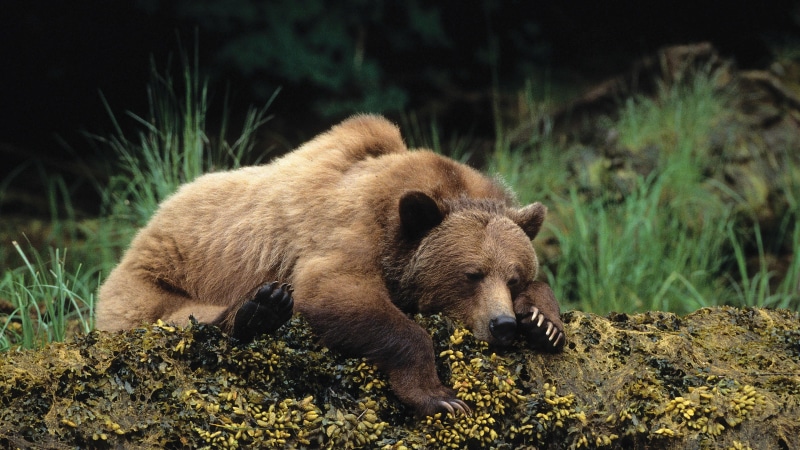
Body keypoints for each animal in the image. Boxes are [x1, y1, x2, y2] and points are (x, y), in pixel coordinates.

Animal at [96, 114, 565, 417]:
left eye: (514, 276)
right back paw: (259, 309)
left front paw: (544, 322)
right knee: (180, 317)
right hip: (148, 283)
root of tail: (146, 225)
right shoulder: (350, 232)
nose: (502, 325)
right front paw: (441, 396)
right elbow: (334, 291)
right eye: (471, 275)